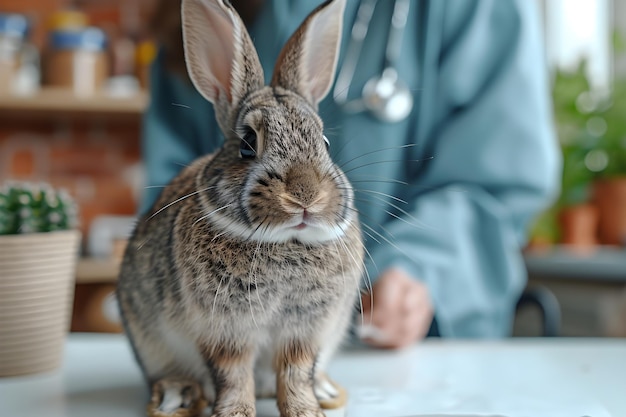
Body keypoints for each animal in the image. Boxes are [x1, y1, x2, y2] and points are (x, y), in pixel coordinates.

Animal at [115, 0, 364, 416]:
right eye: (248, 144)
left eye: (325, 143)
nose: (305, 195)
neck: (286, 243)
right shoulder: (225, 332)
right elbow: (233, 376)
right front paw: (235, 412)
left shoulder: (306, 332)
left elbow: (296, 374)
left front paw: (305, 410)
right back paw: (175, 397)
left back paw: (327, 390)